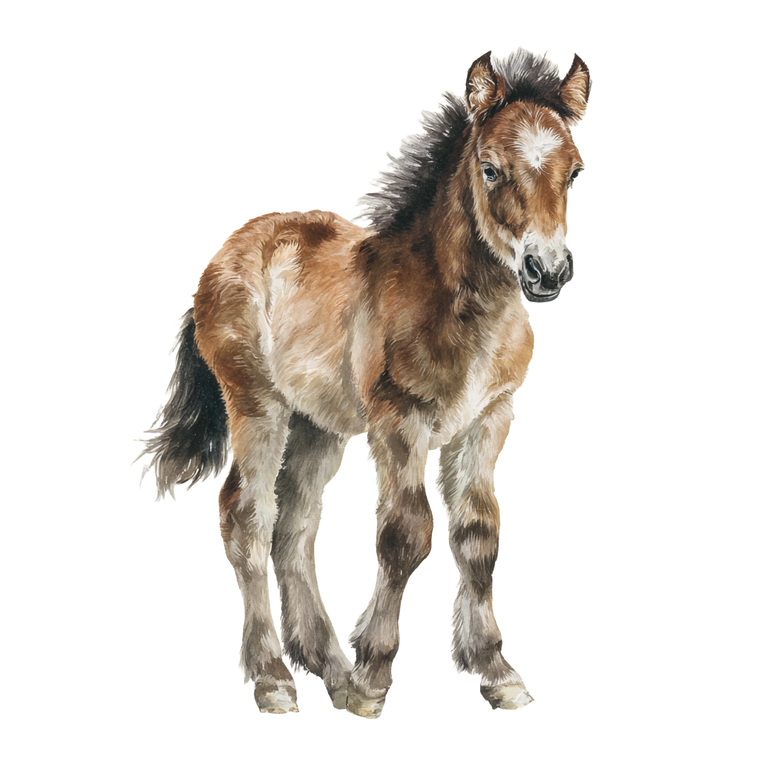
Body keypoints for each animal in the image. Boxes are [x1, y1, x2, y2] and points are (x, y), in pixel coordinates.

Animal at [128, 44, 593, 720]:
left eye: (575, 172)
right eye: (490, 169)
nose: (548, 271)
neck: (461, 306)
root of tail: (228, 251)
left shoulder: (488, 420)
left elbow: (479, 535)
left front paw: (496, 672)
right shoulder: (400, 421)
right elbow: (404, 534)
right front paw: (374, 677)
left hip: (318, 425)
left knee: (295, 526)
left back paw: (327, 663)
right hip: (258, 407)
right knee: (246, 516)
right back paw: (274, 678)